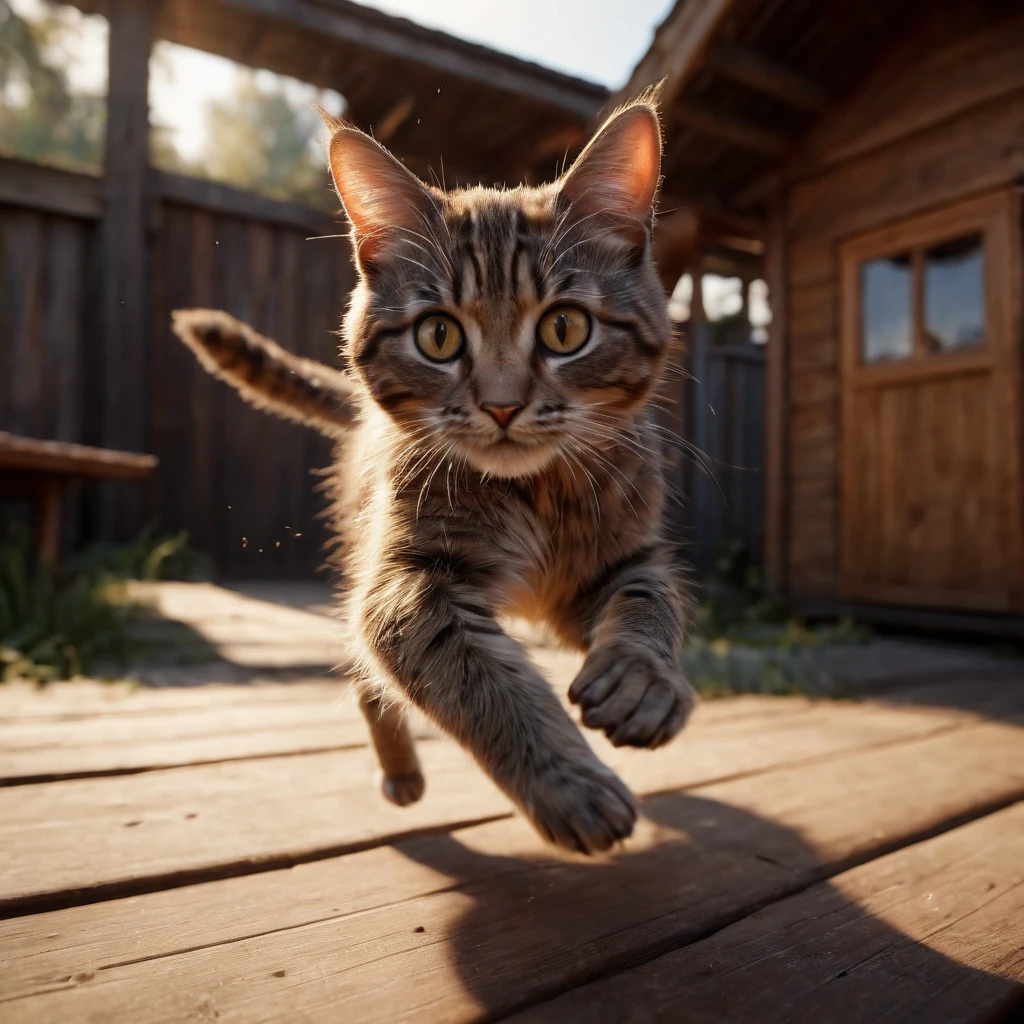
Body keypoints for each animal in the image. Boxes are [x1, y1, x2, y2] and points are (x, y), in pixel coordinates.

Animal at [174, 96, 696, 851]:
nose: (503, 405)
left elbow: (652, 601)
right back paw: (400, 771)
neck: (536, 493)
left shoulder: (616, 556)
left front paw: (646, 680)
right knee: (366, 675)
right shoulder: (406, 586)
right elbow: (483, 683)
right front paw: (568, 785)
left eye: (565, 329)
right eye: (438, 336)